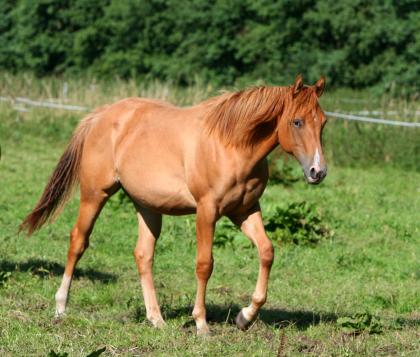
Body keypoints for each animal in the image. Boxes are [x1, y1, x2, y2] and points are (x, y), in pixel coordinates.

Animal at [20, 75, 328, 334]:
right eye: (297, 122)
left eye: (323, 122)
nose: (318, 171)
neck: (231, 144)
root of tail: (101, 115)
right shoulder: (207, 211)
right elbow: (205, 264)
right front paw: (201, 324)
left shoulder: (245, 210)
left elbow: (266, 251)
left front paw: (245, 317)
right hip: (95, 194)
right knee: (78, 241)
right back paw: (61, 307)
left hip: (147, 206)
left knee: (143, 255)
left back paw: (156, 319)